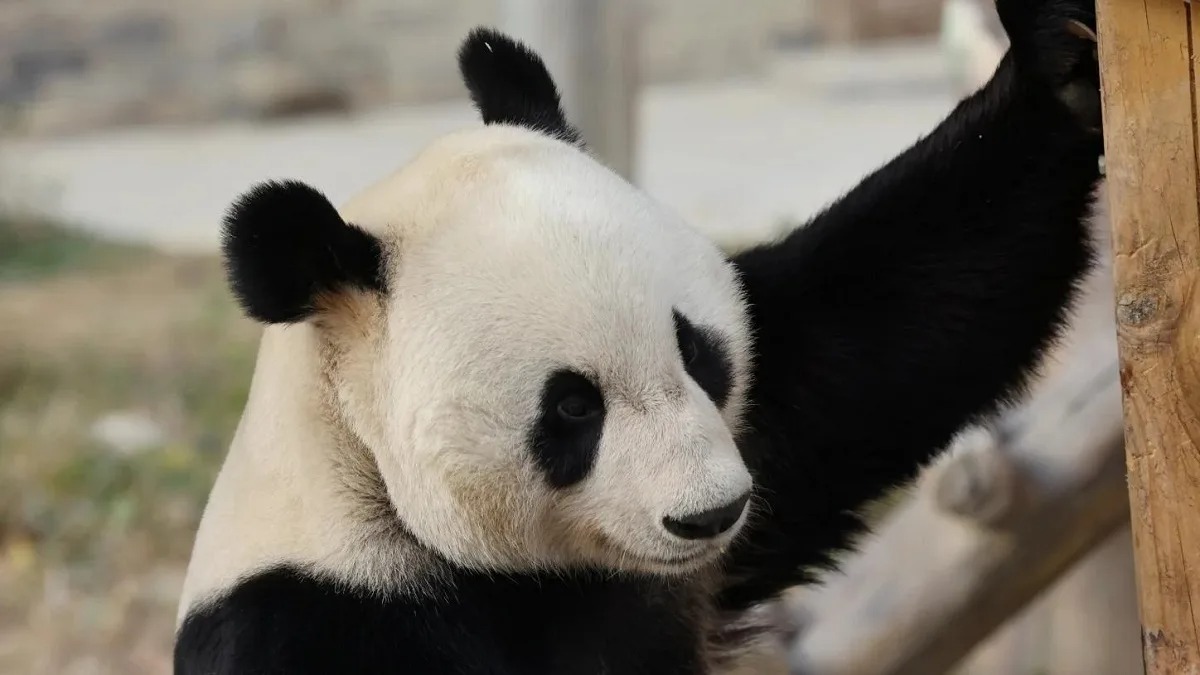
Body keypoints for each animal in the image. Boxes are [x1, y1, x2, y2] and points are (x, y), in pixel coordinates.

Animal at [174, 0, 1104, 672]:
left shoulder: (749, 449)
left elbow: (887, 319)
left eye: (698, 351)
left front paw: (1056, 56)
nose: (712, 513)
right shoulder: (324, 614)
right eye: (571, 407)